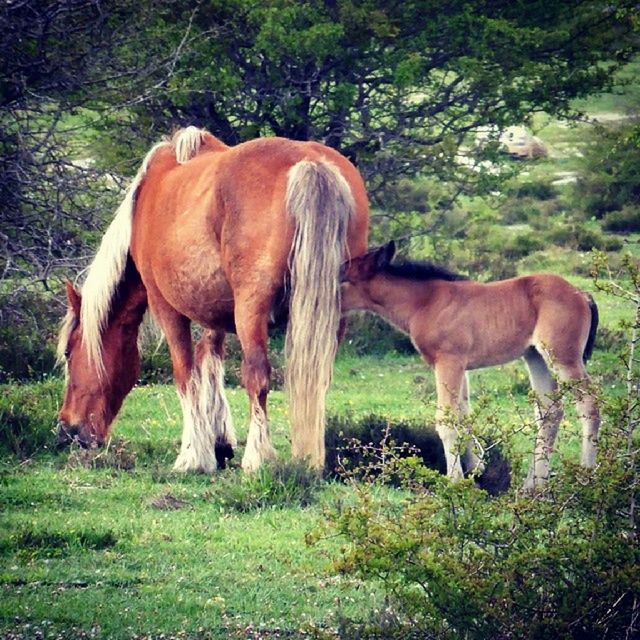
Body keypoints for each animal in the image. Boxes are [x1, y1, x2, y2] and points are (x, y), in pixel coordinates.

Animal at [60, 127, 370, 472]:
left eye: (69, 354)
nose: (67, 429)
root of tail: (309, 163)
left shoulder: (166, 307)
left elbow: (185, 373)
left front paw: (192, 455)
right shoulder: (215, 311)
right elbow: (210, 358)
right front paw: (218, 441)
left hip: (251, 311)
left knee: (257, 375)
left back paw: (256, 459)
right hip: (332, 313)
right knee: (317, 379)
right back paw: (310, 458)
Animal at [342, 241, 604, 490]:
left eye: (343, 278)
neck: (426, 303)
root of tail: (581, 294)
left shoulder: (449, 361)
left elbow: (446, 420)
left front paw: (455, 481)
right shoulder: (459, 365)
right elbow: (462, 413)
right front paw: (477, 467)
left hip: (563, 357)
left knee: (589, 403)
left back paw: (587, 474)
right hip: (535, 357)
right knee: (550, 412)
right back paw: (534, 485)